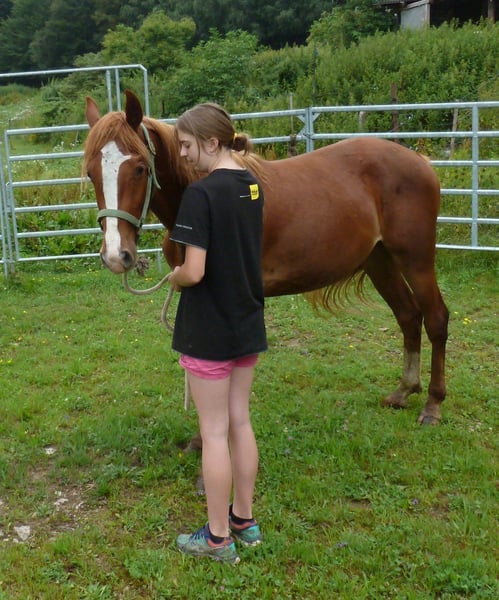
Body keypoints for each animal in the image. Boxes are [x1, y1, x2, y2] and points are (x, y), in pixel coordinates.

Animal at [83, 90, 449, 425]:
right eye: (90, 172)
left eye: (140, 168)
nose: (116, 255)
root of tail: (420, 161)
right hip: (379, 261)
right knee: (408, 316)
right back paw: (404, 391)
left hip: (416, 261)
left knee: (435, 318)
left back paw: (432, 405)